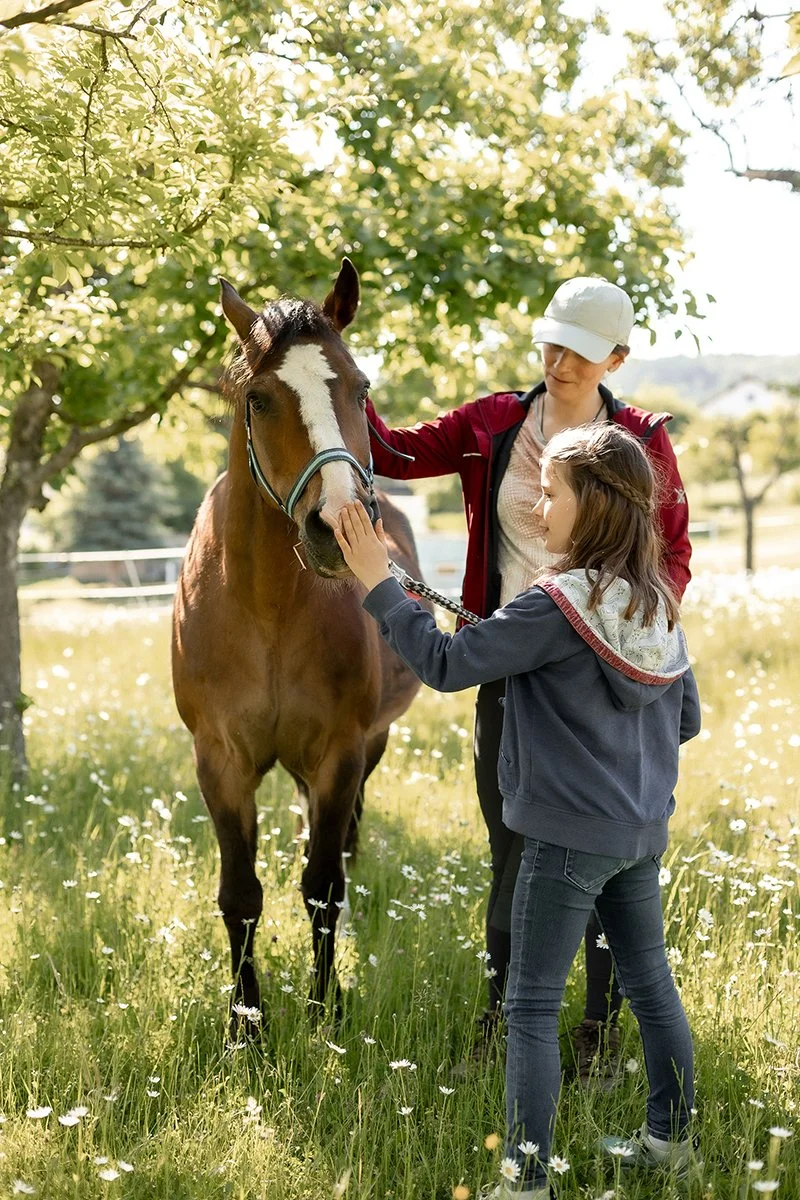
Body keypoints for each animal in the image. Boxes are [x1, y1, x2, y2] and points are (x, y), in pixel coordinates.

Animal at [171, 259, 428, 1033]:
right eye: (259, 399)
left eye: (361, 387)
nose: (338, 524)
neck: (267, 609)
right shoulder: (220, 762)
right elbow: (240, 893)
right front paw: (246, 1024)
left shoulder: (340, 752)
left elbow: (322, 886)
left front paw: (325, 1009)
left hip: (368, 747)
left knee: (338, 848)